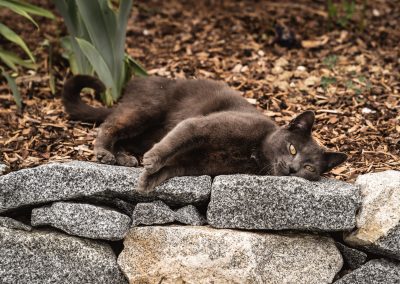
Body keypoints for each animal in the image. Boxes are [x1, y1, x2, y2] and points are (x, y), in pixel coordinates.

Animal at [62, 74, 346, 192]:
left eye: (309, 168)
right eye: (292, 148)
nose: (292, 169)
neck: (255, 153)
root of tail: (135, 82)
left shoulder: (197, 163)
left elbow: (171, 168)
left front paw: (146, 181)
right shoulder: (200, 125)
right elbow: (175, 141)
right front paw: (152, 162)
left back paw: (125, 158)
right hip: (147, 109)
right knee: (110, 125)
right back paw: (104, 153)